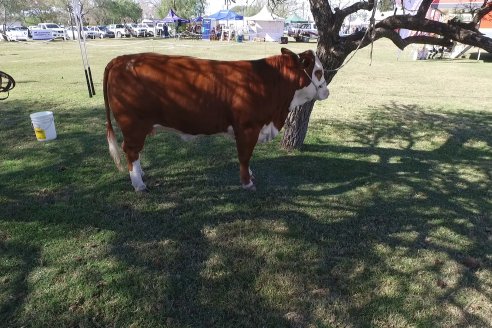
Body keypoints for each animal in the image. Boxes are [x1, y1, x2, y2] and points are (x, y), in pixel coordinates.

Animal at [103, 48, 330, 192]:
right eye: (318, 71)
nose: (326, 91)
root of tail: (122, 59)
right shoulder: (247, 128)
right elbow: (245, 156)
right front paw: (247, 183)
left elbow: (248, 158)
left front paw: (250, 175)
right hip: (133, 124)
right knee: (131, 151)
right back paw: (138, 184)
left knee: (134, 152)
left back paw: (140, 176)